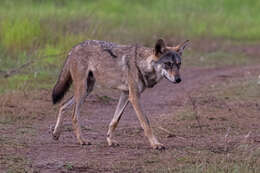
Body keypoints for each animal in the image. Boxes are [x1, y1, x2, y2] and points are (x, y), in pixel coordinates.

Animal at [51, 38, 189, 149]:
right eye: (168, 64)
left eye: (179, 64)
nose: (179, 79)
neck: (141, 65)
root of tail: (74, 48)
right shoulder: (134, 97)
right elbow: (146, 123)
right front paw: (156, 144)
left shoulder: (125, 94)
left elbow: (115, 120)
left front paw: (110, 140)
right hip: (82, 90)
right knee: (74, 116)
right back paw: (81, 140)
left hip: (87, 91)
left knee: (62, 105)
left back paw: (56, 133)